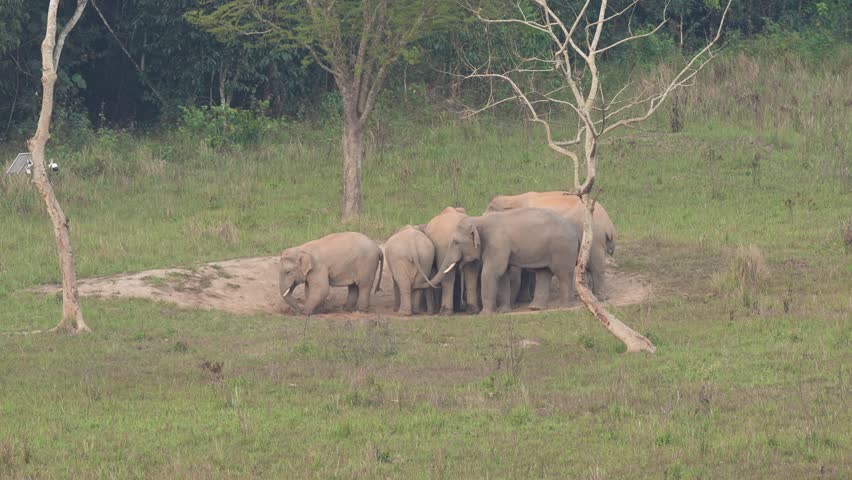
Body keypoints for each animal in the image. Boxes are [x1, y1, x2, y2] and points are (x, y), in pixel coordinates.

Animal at [428, 208, 582, 315]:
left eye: (455, 242)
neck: (479, 220)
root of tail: (575, 231)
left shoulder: (497, 244)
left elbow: (491, 272)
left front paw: (485, 315)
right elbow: (503, 274)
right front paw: (503, 311)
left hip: (562, 249)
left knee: (563, 274)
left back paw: (564, 306)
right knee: (543, 273)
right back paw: (535, 308)